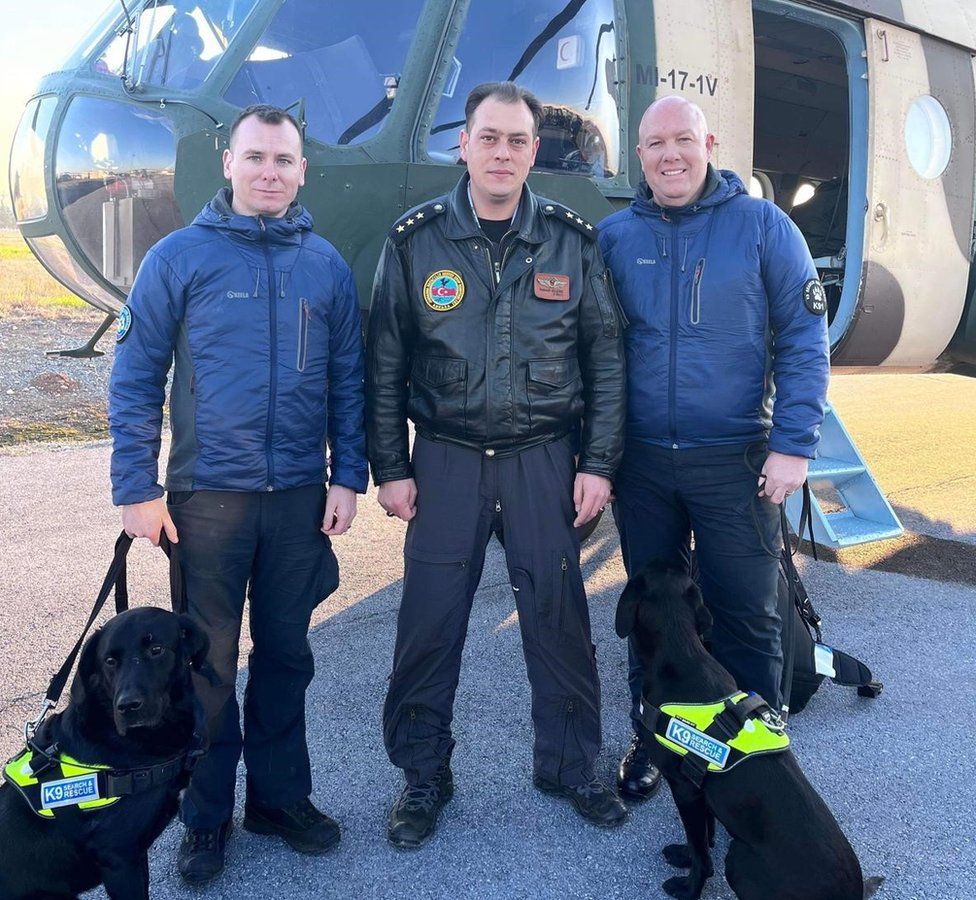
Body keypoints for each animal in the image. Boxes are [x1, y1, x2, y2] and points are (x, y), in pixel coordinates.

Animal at [616, 564, 884, 900]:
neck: (681, 651)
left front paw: (689, 887)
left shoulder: (685, 788)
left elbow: (701, 849)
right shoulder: (700, 787)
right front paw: (684, 855)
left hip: (739, 861)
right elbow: (703, 836)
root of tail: (852, 894)